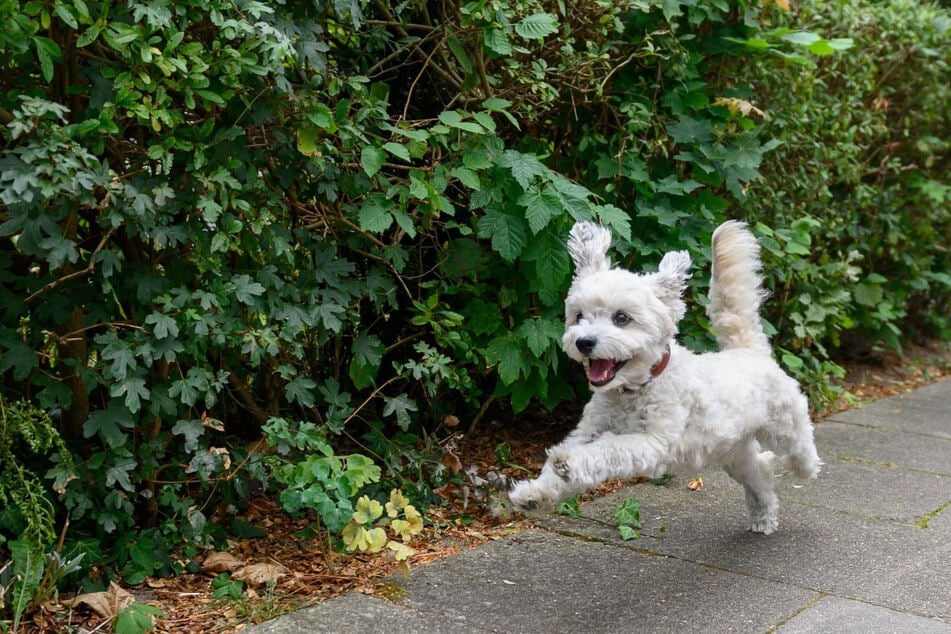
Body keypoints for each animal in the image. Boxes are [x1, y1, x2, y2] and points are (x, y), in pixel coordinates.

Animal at [510, 220, 820, 532]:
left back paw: (807, 467)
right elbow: (567, 457)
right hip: (734, 452)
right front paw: (535, 493)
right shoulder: (589, 431)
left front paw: (569, 464)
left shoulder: (651, 443)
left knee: (801, 445)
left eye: (622, 318)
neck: (635, 389)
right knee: (760, 473)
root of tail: (748, 350)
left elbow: (608, 449)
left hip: (784, 425)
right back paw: (763, 516)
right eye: (579, 316)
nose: (583, 342)